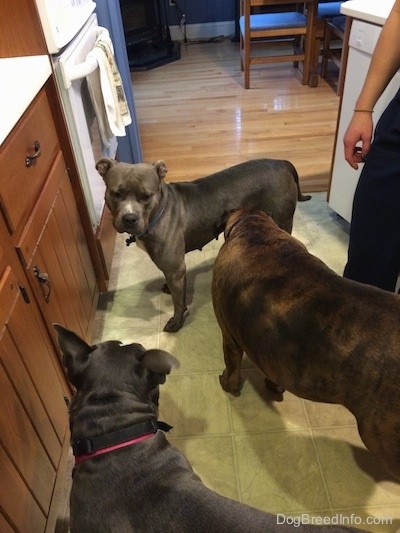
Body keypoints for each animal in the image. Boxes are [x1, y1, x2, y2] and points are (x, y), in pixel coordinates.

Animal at [96, 158, 310, 330]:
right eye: (115, 194)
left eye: (146, 196)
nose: (129, 218)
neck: (160, 210)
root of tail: (282, 162)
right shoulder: (172, 270)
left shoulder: (175, 269)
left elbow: (178, 302)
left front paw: (176, 323)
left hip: (282, 220)